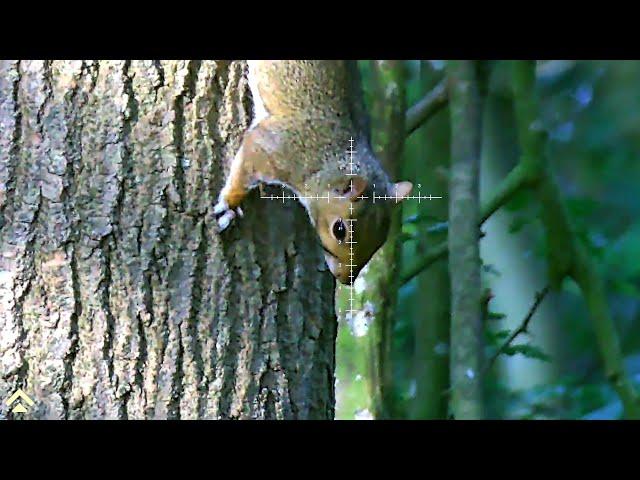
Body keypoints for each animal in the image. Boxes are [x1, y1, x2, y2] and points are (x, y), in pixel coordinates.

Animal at [215, 61, 412, 284]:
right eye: (339, 230)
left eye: (381, 239)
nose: (345, 279)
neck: (325, 166)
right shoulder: (276, 148)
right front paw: (229, 204)